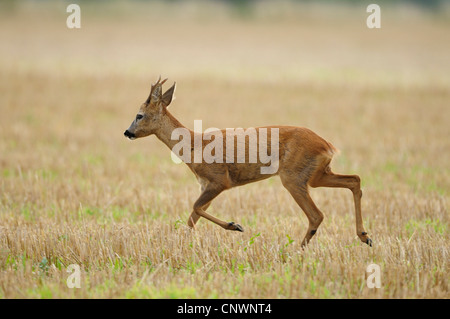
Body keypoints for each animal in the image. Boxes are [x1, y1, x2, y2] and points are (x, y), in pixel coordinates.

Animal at [124, 77, 372, 248]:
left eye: (139, 115)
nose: (127, 132)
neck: (194, 145)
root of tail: (327, 145)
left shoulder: (219, 180)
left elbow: (195, 208)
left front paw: (235, 226)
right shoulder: (205, 184)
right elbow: (192, 218)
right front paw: (181, 245)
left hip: (294, 176)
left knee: (316, 214)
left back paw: (299, 249)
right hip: (316, 174)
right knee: (354, 180)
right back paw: (365, 236)